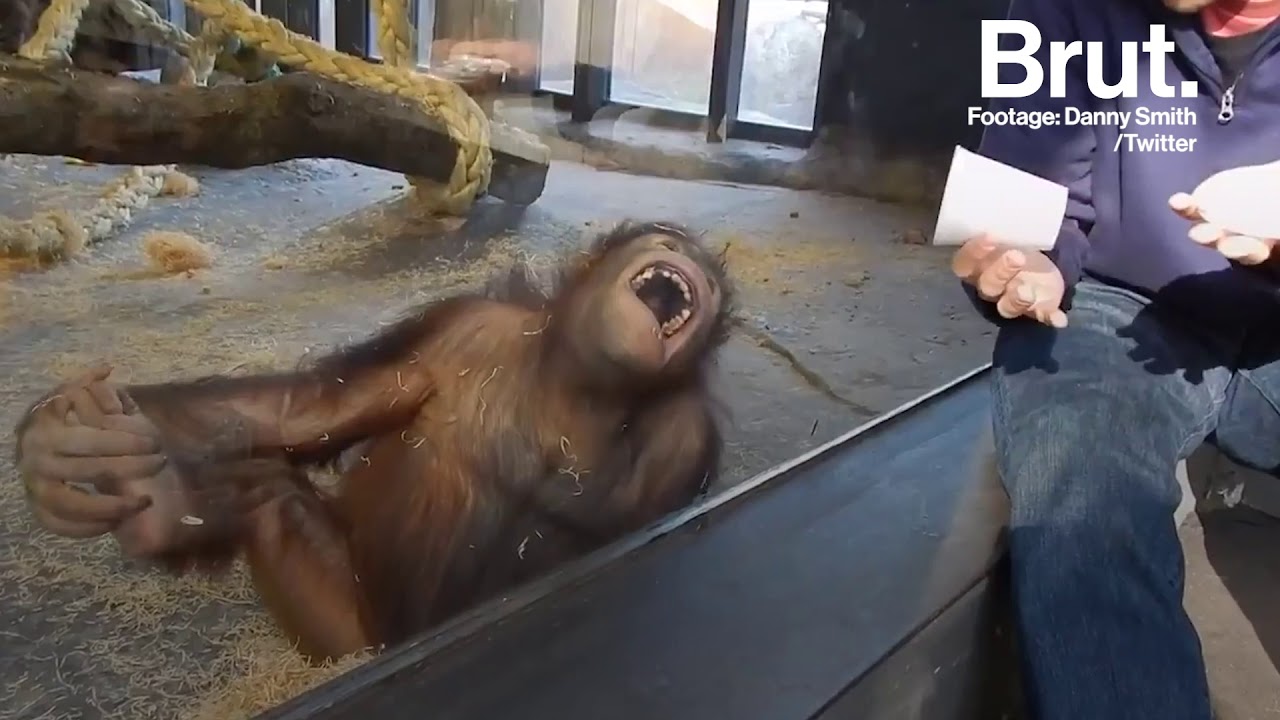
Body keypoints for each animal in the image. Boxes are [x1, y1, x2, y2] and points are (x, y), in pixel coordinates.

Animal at [14, 221, 734, 663]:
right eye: (664, 239)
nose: (690, 263)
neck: (580, 382)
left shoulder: (685, 436)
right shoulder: (456, 329)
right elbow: (310, 407)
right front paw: (55, 443)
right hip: (349, 629)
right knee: (264, 494)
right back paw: (156, 501)